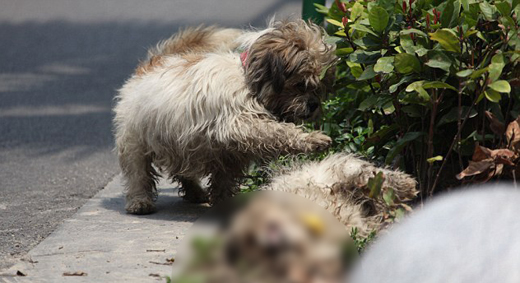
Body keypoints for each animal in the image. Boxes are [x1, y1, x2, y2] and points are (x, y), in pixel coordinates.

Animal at [112, 20, 336, 214]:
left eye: (319, 87)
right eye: (301, 84)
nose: (314, 105)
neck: (247, 81)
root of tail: (147, 67)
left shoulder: (229, 153)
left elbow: (224, 180)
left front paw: (224, 203)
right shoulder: (238, 123)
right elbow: (277, 131)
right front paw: (312, 139)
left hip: (180, 143)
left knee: (183, 170)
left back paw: (195, 192)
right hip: (135, 140)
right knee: (137, 172)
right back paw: (139, 201)